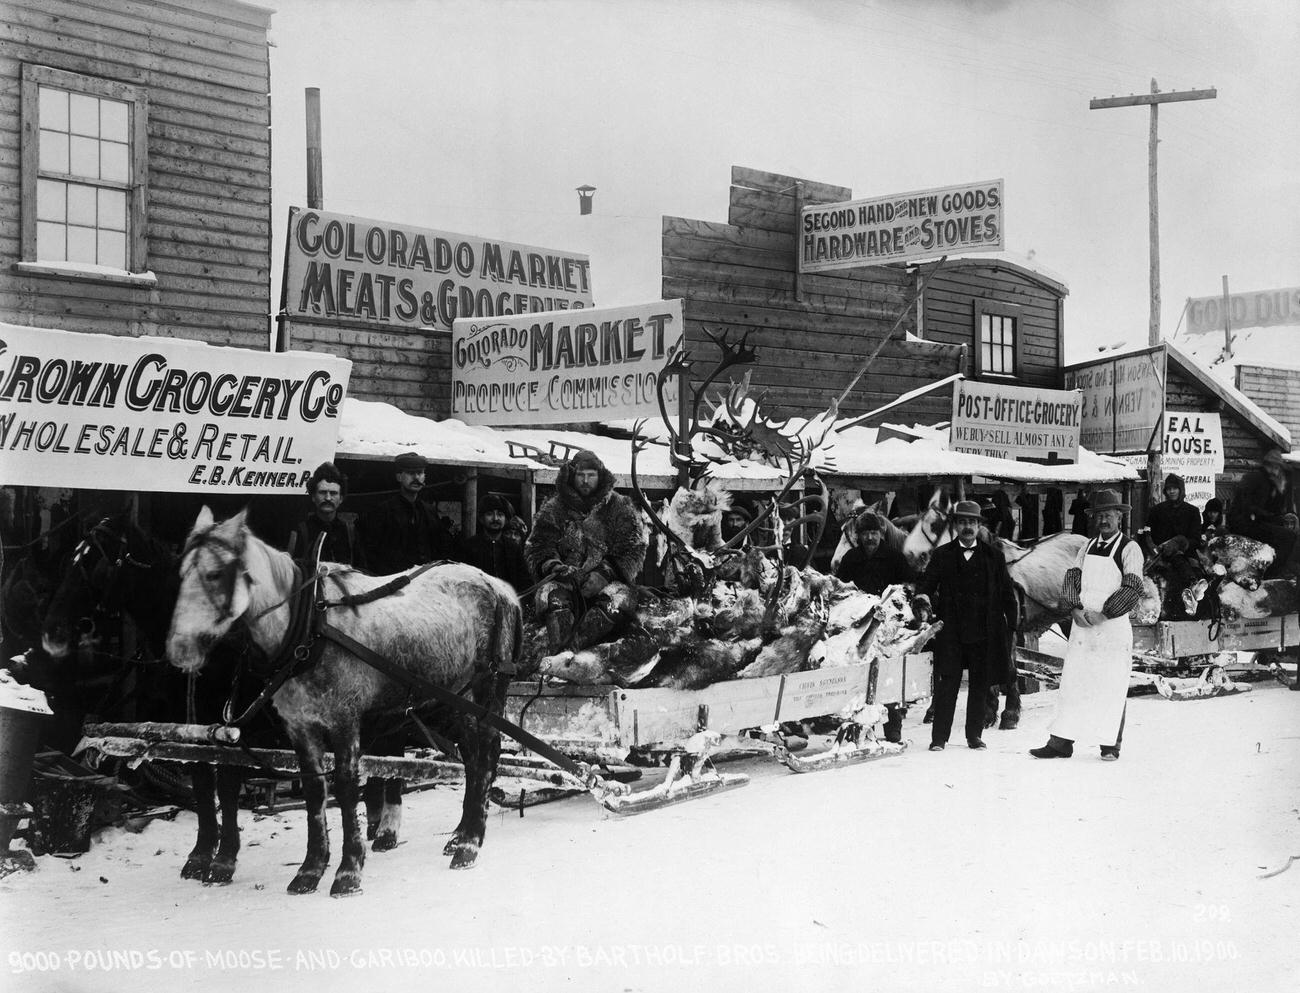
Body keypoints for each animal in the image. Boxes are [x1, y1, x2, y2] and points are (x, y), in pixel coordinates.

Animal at [38, 512, 276, 883]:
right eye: (69, 561)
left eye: (95, 564)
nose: (51, 634)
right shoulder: (188, 717)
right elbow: (202, 781)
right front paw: (200, 855)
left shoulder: (233, 721)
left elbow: (227, 784)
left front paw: (224, 860)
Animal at [165, 506, 520, 894]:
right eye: (179, 574)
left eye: (214, 574)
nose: (179, 650)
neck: (309, 627)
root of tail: (496, 584)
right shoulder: (300, 725)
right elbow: (313, 791)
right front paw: (310, 868)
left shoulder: (344, 719)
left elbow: (348, 787)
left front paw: (348, 870)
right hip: (455, 697)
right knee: (472, 756)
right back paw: (460, 835)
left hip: (487, 689)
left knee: (487, 754)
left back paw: (470, 843)